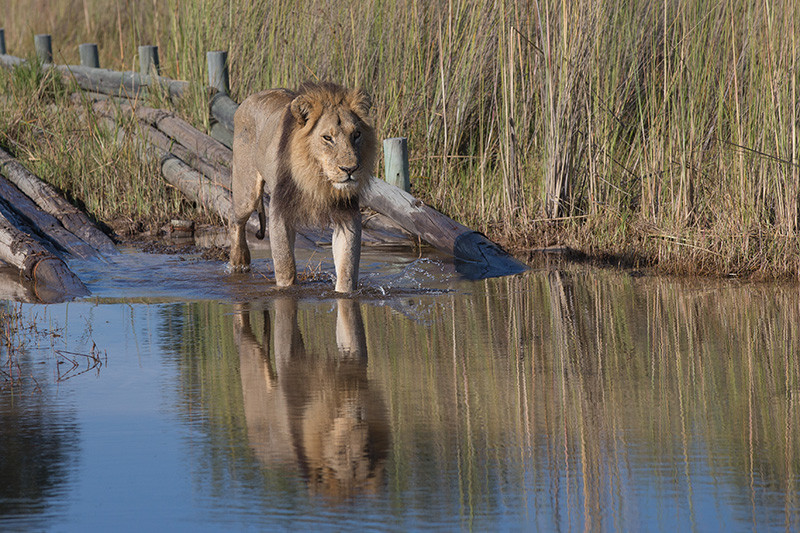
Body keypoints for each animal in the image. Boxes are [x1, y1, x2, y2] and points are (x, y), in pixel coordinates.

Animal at [229, 81, 377, 293]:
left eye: (356, 135)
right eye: (327, 138)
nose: (350, 169)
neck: (317, 179)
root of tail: (249, 99)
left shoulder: (347, 212)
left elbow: (347, 266)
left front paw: (344, 292)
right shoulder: (280, 210)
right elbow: (285, 265)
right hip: (246, 191)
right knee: (235, 220)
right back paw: (239, 262)